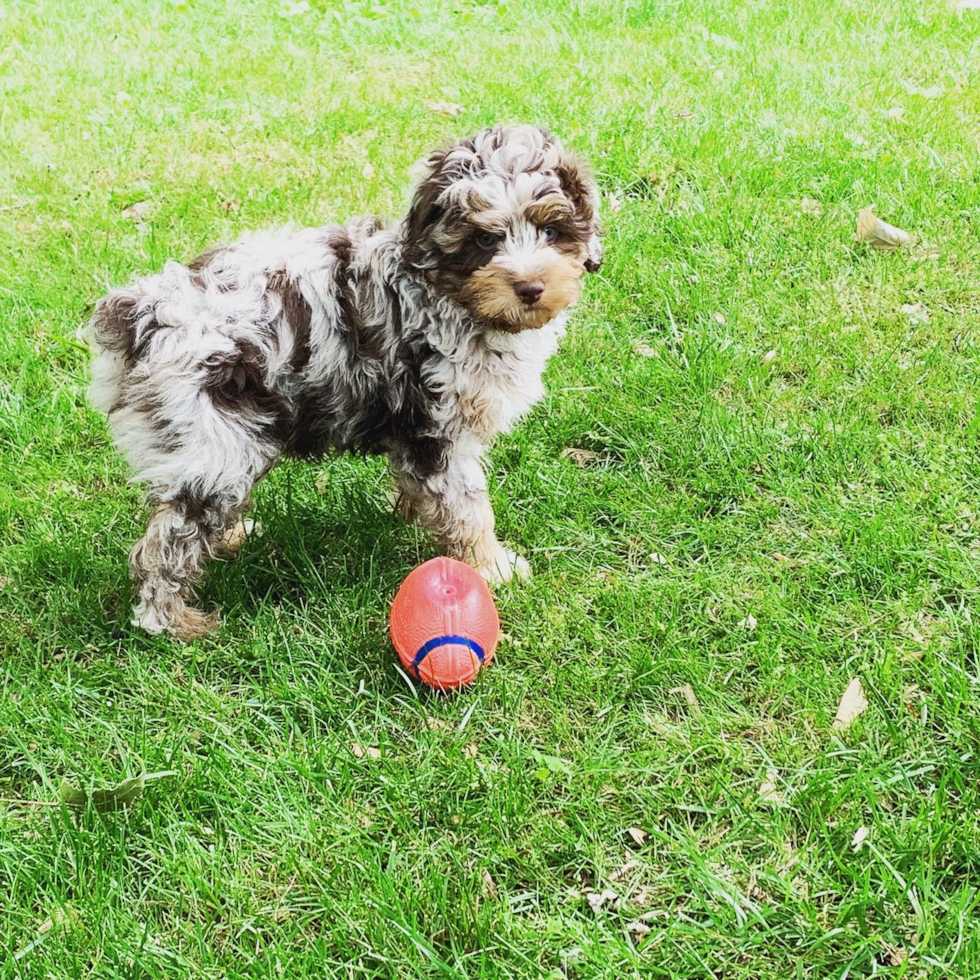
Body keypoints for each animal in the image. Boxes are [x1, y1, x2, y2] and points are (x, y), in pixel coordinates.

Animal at [88, 124, 600, 644]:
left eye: (551, 231)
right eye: (482, 239)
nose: (530, 288)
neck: (446, 294)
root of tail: (144, 315)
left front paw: (418, 519)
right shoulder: (436, 428)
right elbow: (467, 506)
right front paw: (492, 566)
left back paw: (230, 538)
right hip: (215, 441)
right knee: (166, 542)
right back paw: (174, 623)